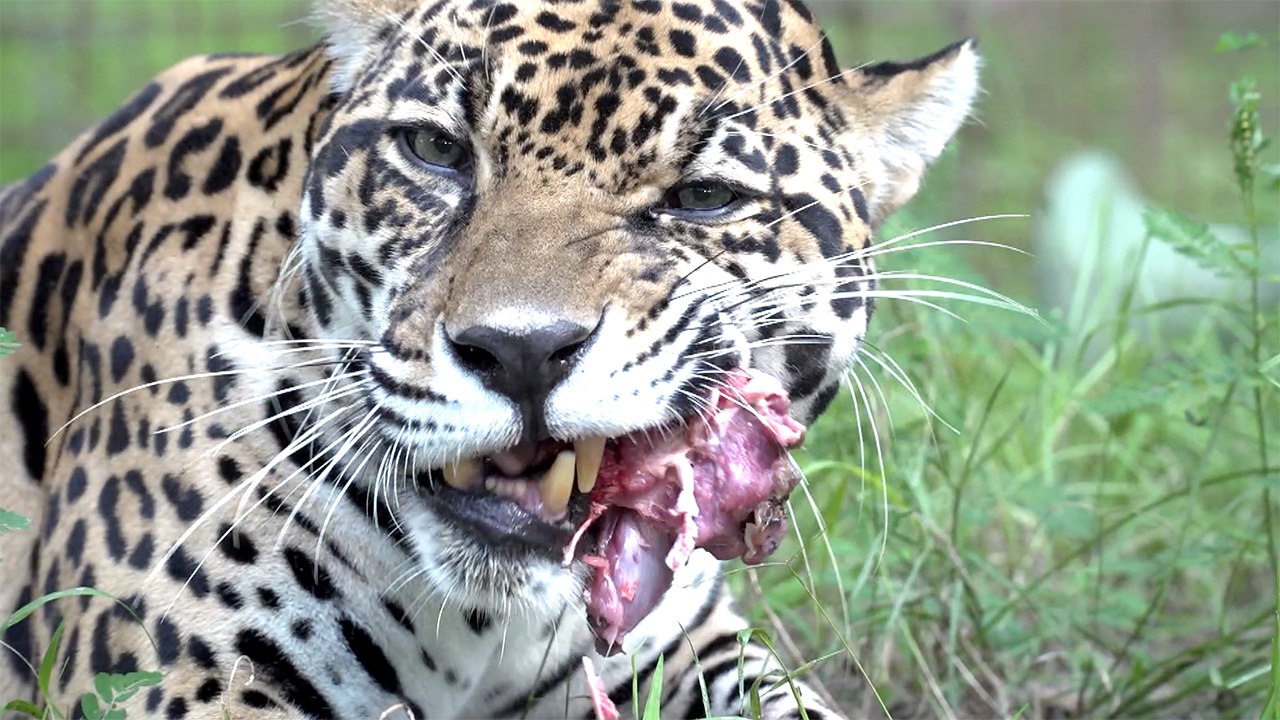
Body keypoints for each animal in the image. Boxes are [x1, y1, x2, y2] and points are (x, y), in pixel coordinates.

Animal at [0, 0, 979, 717]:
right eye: (436, 150)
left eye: (703, 198)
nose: (521, 351)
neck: (478, 625)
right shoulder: (178, 671)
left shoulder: (677, 646)